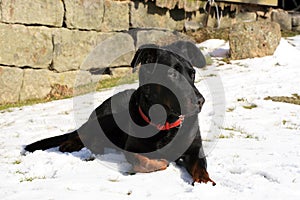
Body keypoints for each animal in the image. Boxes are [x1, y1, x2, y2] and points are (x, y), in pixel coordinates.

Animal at [24, 40, 216, 186]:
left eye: (192, 74)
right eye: (172, 74)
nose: (201, 101)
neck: (165, 123)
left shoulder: (195, 151)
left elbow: (200, 166)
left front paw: (204, 181)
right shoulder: (131, 148)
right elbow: (142, 161)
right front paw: (159, 163)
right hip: (104, 117)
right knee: (81, 132)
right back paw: (71, 144)